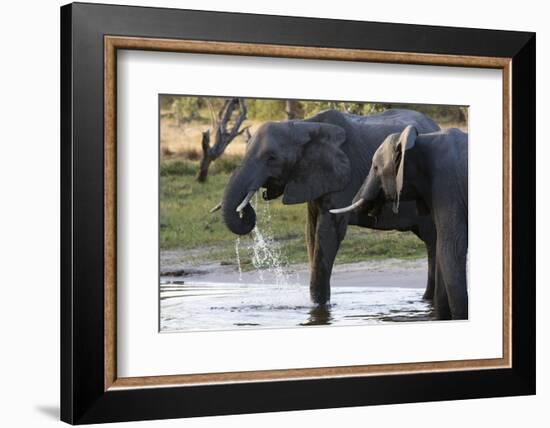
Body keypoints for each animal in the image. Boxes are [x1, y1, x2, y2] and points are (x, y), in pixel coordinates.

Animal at [222, 108, 442, 306]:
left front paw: (320, 307)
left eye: (271, 158)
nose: (246, 208)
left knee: (433, 240)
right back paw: (426, 300)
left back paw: (428, 301)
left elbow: (328, 232)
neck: (303, 126)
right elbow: (311, 232)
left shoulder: (343, 176)